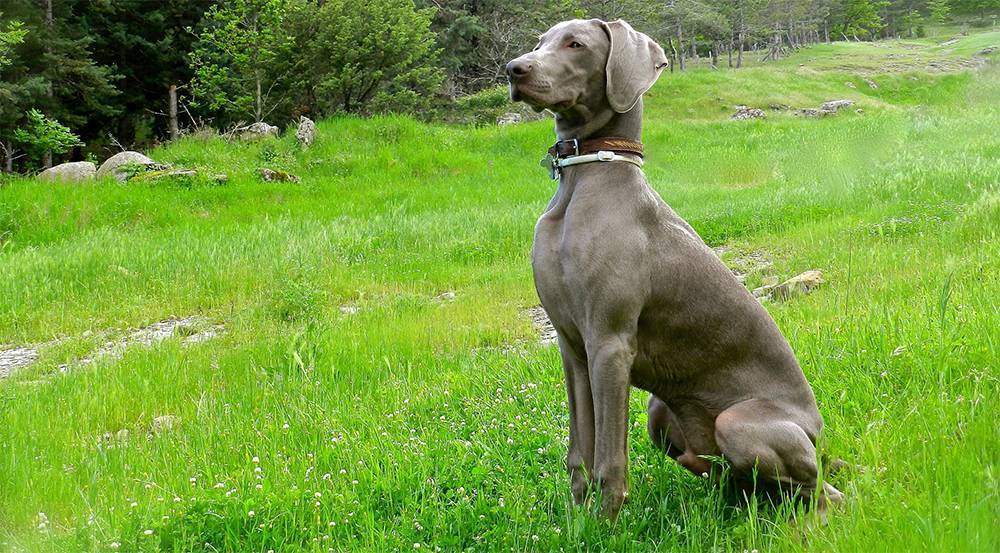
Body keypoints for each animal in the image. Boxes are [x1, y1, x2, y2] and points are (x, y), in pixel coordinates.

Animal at [506, 19, 843, 519]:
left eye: (576, 44)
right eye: (540, 42)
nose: (514, 69)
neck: (585, 176)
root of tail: (817, 434)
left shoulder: (609, 343)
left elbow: (609, 459)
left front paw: (605, 526)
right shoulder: (572, 347)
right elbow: (578, 453)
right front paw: (576, 521)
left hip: (740, 422)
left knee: (821, 491)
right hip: (659, 412)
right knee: (733, 478)